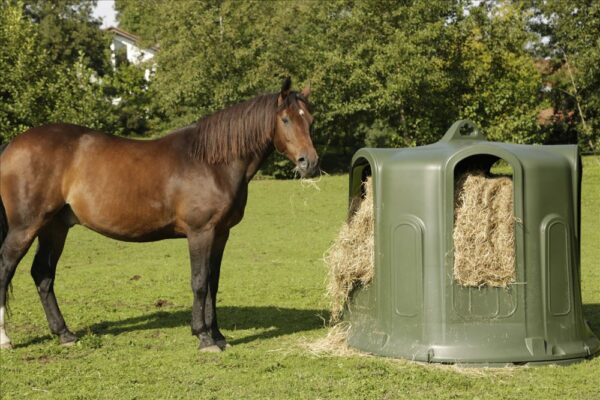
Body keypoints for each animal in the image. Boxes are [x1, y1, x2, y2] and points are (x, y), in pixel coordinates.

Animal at [0, 77, 318, 350]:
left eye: (310, 120)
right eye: (286, 119)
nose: (310, 163)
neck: (212, 163)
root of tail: (12, 146)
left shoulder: (221, 234)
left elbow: (213, 283)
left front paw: (218, 335)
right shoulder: (200, 233)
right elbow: (200, 282)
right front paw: (204, 338)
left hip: (54, 228)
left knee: (42, 274)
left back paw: (65, 334)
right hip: (26, 227)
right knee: (6, 267)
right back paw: (6, 339)